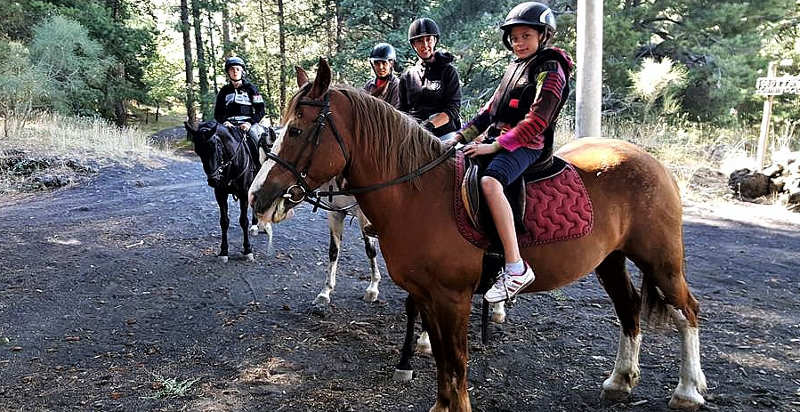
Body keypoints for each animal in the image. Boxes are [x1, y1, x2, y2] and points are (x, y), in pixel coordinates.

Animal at [186, 121, 274, 260]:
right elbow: (224, 221)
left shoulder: (243, 194)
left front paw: (247, 250)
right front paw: (224, 251)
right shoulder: (220, 194)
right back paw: (255, 226)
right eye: (198, 150)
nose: (213, 180)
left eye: (216, 147)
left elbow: (243, 221)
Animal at [248, 58, 708, 412]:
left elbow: (457, 362)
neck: (420, 194)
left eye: (297, 130)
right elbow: (442, 361)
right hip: (610, 260)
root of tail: (650, 160)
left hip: (661, 260)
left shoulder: (452, 298)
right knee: (629, 310)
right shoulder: (427, 296)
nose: (257, 196)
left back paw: (687, 390)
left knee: (687, 311)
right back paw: (620, 380)